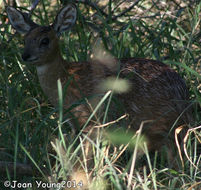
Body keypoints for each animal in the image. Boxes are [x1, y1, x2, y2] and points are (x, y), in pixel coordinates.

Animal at [6, 4, 192, 157]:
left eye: (45, 41)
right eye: (24, 40)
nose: (25, 55)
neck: (65, 78)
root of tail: (183, 93)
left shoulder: (88, 118)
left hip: (157, 119)